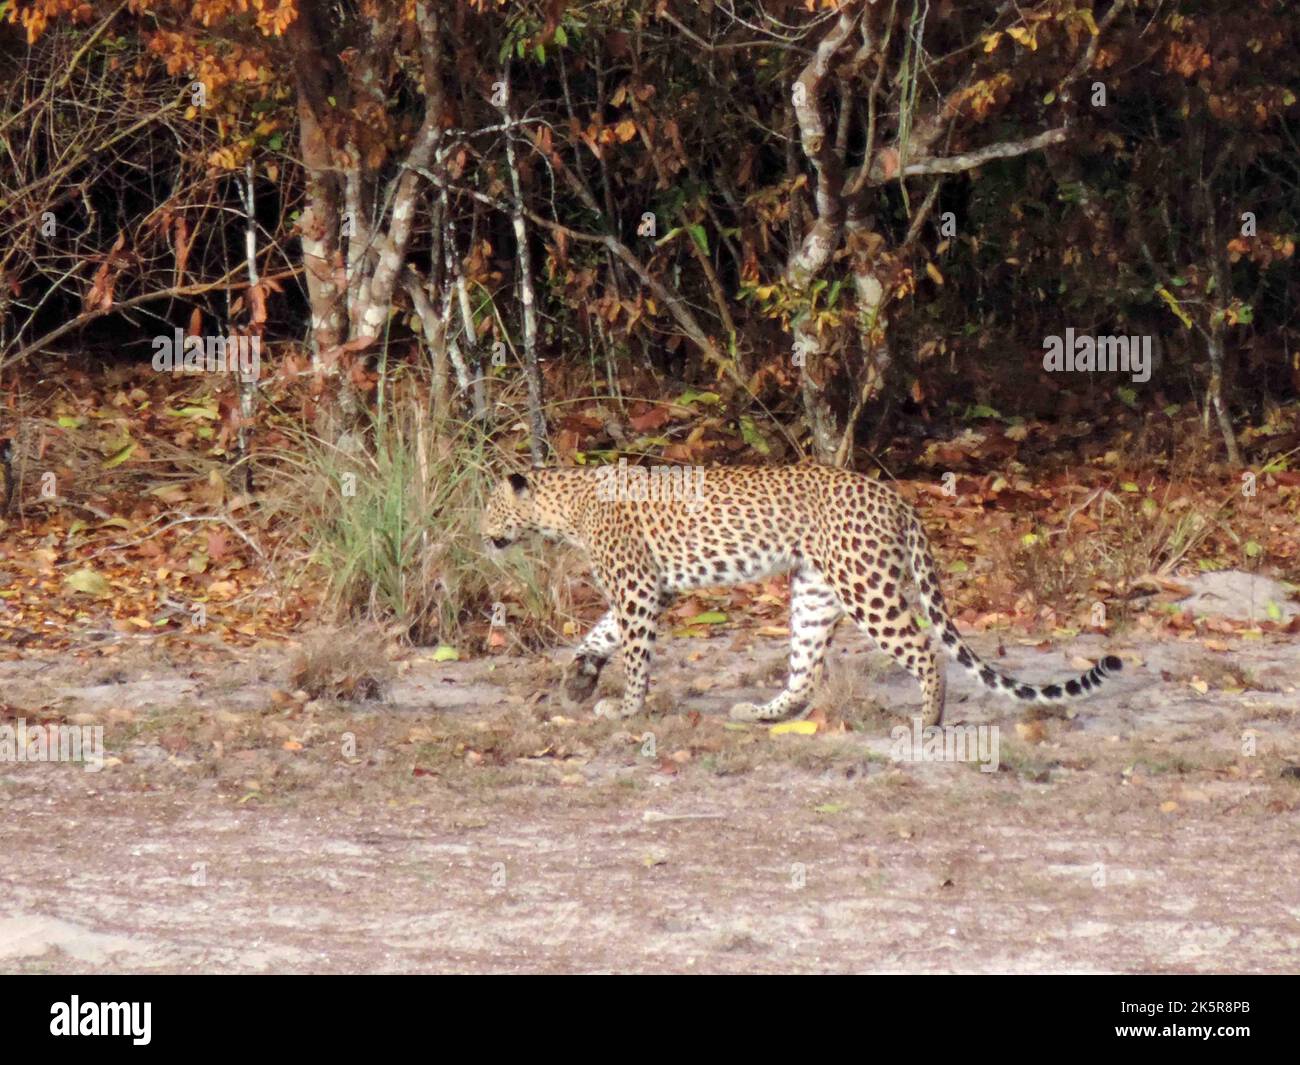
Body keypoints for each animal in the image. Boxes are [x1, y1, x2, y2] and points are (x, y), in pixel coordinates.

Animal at [483, 462, 1123, 728]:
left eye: (491, 506)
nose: (482, 534)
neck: (564, 507)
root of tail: (898, 500)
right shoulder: (653, 589)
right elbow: (602, 633)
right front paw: (580, 678)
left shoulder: (638, 586)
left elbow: (635, 652)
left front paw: (627, 708)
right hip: (815, 591)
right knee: (806, 671)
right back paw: (763, 713)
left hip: (865, 585)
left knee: (924, 650)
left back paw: (927, 719)